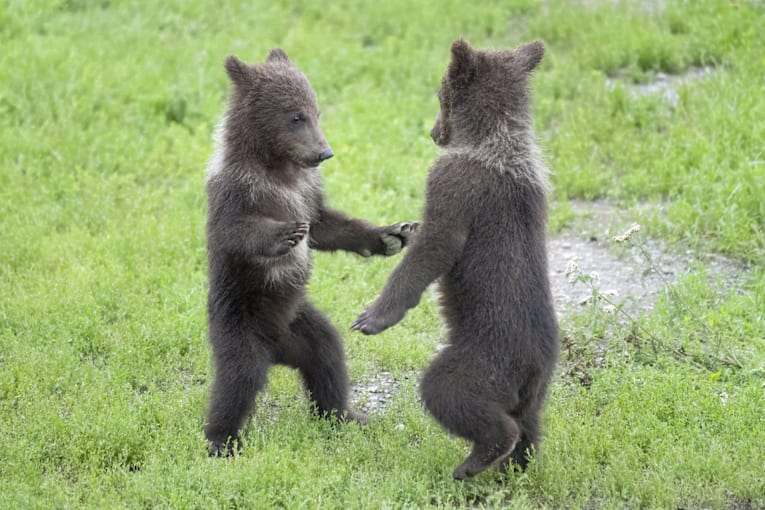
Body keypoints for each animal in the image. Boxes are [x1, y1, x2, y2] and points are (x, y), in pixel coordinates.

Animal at [204, 48, 416, 456]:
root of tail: (276, 351)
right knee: (237, 378)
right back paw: (220, 440)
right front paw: (285, 233)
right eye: (294, 116)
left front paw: (390, 235)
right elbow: (234, 230)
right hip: (239, 321)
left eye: (315, 111)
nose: (324, 152)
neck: (279, 167)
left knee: (328, 356)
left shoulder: (307, 190)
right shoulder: (237, 188)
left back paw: (345, 414)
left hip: (300, 323)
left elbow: (324, 225)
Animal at [352, 39, 559, 480]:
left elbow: (436, 245)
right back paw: (512, 467)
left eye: (439, 95)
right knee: (531, 423)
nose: (433, 133)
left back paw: (476, 459)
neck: (495, 140)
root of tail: (533, 366)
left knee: (448, 391)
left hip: (482, 360)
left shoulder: (454, 185)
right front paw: (403, 231)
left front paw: (371, 317)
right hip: (536, 387)